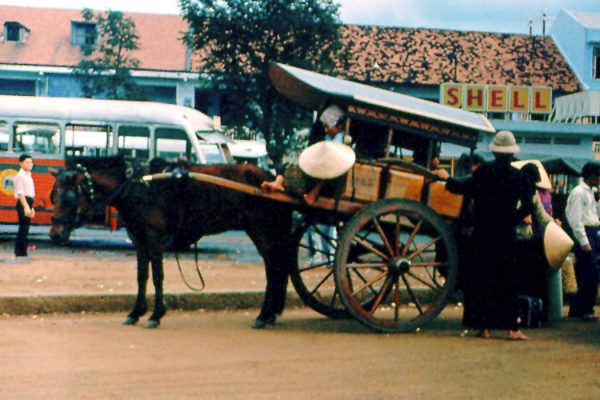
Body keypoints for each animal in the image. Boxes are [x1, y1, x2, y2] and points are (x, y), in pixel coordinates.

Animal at [48, 156, 296, 328]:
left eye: (69, 196)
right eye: (53, 196)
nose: (55, 234)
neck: (138, 185)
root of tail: (273, 179)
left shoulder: (155, 237)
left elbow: (158, 275)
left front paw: (156, 314)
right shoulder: (139, 238)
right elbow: (142, 276)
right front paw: (136, 312)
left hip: (261, 231)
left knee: (273, 268)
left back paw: (264, 315)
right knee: (276, 267)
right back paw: (270, 313)